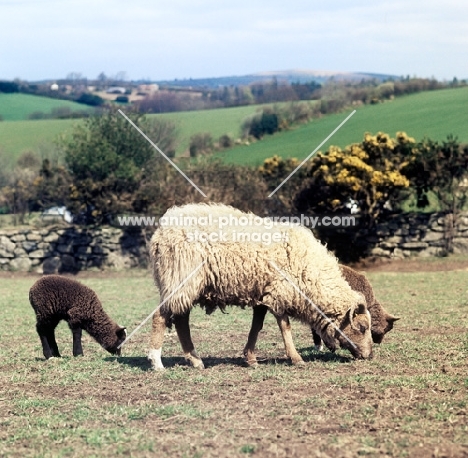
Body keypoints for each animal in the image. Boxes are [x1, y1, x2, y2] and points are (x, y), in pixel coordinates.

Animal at [147, 202, 372, 370]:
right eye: (362, 328)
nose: (369, 355)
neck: (310, 274)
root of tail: (162, 229)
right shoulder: (280, 291)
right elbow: (285, 327)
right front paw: (296, 358)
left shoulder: (263, 294)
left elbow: (257, 326)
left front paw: (251, 358)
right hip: (179, 278)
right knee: (161, 317)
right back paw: (157, 362)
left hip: (186, 285)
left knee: (181, 320)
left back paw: (195, 360)